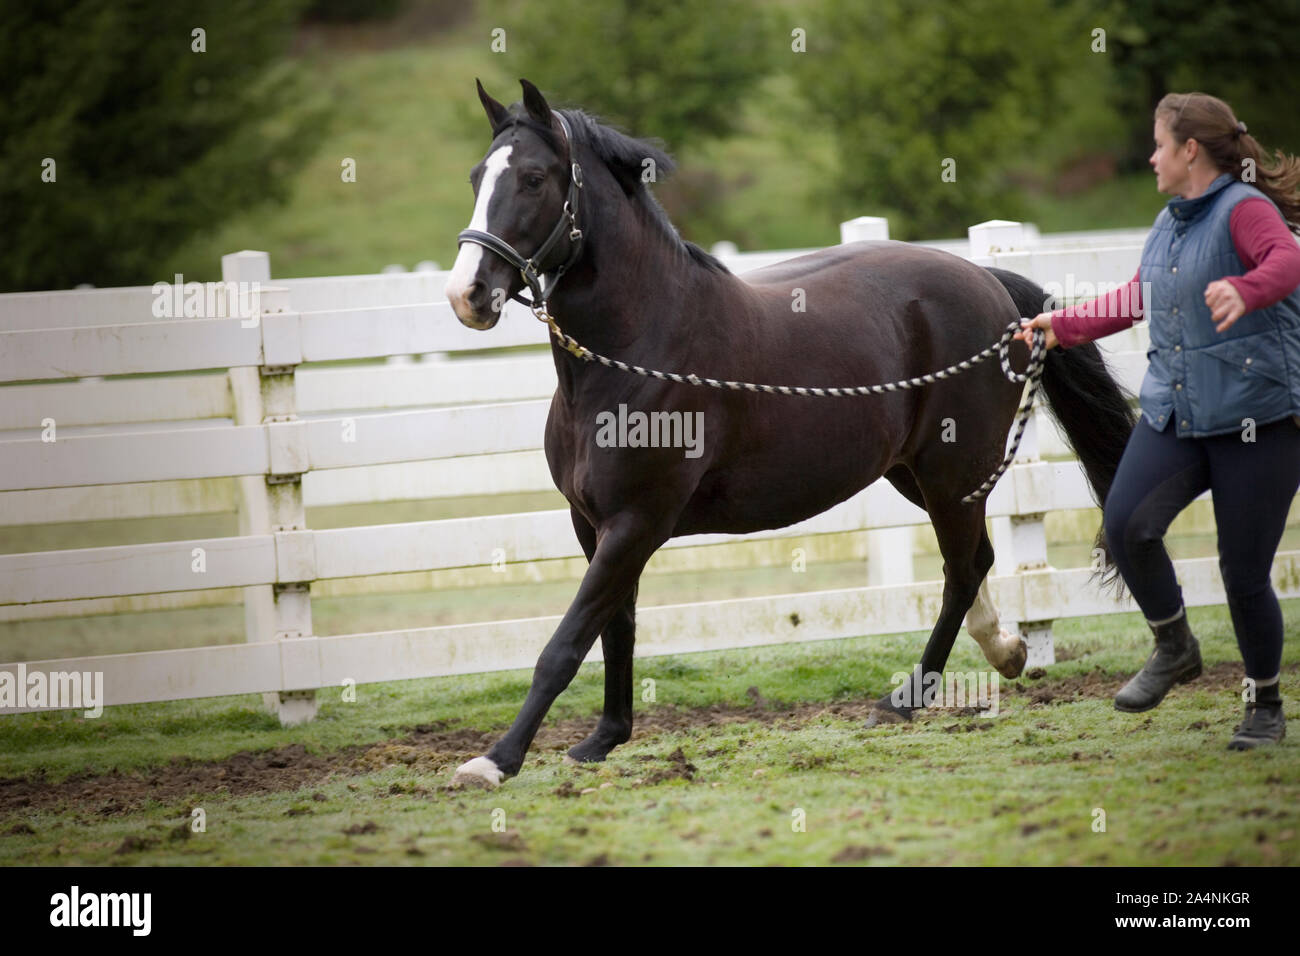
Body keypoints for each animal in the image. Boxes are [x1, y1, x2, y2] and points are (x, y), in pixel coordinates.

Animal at [444, 79, 1135, 788]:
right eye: (476, 177)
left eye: (532, 178)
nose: (467, 293)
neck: (638, 351)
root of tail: (992, 284)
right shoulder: (595, 525)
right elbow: (615, 628)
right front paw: (603, 739)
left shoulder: (636, 522)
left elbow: (566, 642)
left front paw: (495, 761)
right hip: (916, 475)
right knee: (979, 561)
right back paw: (1007, 651)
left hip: (951, 475)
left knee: (961, 570)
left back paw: (904, 700)